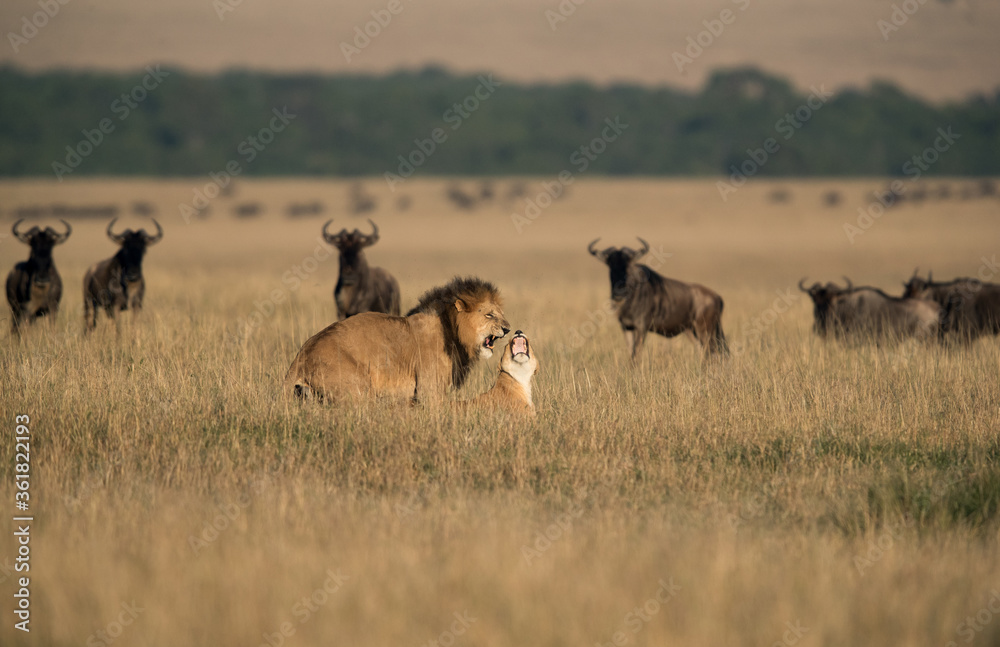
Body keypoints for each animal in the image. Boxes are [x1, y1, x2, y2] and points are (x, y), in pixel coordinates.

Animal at [284, 276, 510, 402]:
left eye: (501, 313)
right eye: (489, 315)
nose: (507, 329)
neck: (452, 330)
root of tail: (301, 357)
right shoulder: (430, 389)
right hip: (356, 390)